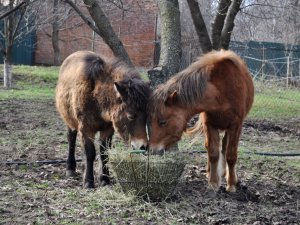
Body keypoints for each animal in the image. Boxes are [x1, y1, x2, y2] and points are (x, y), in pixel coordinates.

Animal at [55, 51, 151, 188]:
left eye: (146, 116)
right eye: (131, 116)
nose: (142, 146)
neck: (96, 98)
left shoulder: (108, 130)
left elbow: (104, 154)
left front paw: (105, 179)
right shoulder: (86, 130)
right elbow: (90, 153)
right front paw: (88, 182)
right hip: (69, 120)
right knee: (71, 138)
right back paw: (70, 168)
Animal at [149, 50, 254, 192]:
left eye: (162, 122)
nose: (151, 149)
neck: (221, 92)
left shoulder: (235, 126)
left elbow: (231, 155)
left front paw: (231, 184)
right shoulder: (209, 125)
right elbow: (213, 153)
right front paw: (213, 183)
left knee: (225, 147)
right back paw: (211, 172)